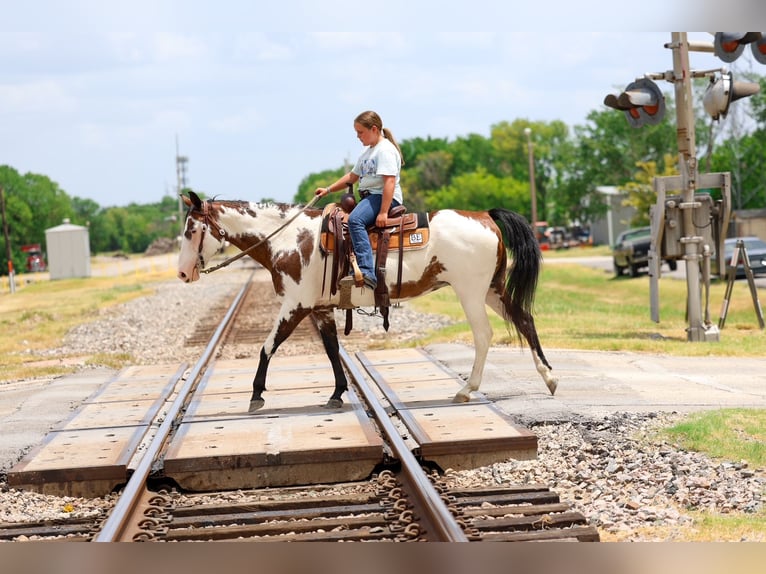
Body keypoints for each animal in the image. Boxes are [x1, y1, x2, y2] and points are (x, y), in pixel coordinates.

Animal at [177, 191, 557, 413]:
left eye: (191, 230)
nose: (182, 273)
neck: (290, 239)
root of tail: (485, 216)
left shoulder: (295, 306)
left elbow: (268, 346)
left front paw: (256, 394)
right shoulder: (320, 309)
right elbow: (332, 350)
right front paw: (336, 393)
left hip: (471, 292)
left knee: (484, 335)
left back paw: (466, 390)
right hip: (492, 289)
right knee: (525, 319)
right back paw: (549, 378)